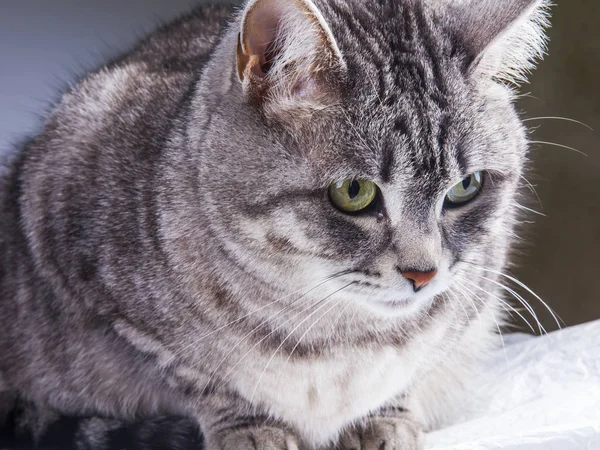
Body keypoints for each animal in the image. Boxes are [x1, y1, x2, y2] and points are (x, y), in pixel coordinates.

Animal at [0, 0, 552, 448]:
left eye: (466, 187)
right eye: (354, 192)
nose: (424, 274)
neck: (335, 336)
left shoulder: (475, 297)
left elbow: (412, 371)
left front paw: (383, 421)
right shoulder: (84, 270)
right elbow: (203, 378)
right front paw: (254, 430)